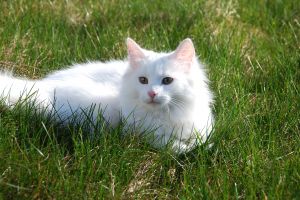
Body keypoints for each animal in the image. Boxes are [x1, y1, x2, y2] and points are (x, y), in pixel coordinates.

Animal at [1, 38, 214, 153]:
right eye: (143, 80)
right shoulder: (147, 136)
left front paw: (201, 145)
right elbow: (178, 147)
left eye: (167, 81)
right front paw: (192, 148)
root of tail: (40, 85)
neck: (168, 114)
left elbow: (201, 139)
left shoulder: (204, 127)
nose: (152, 93)